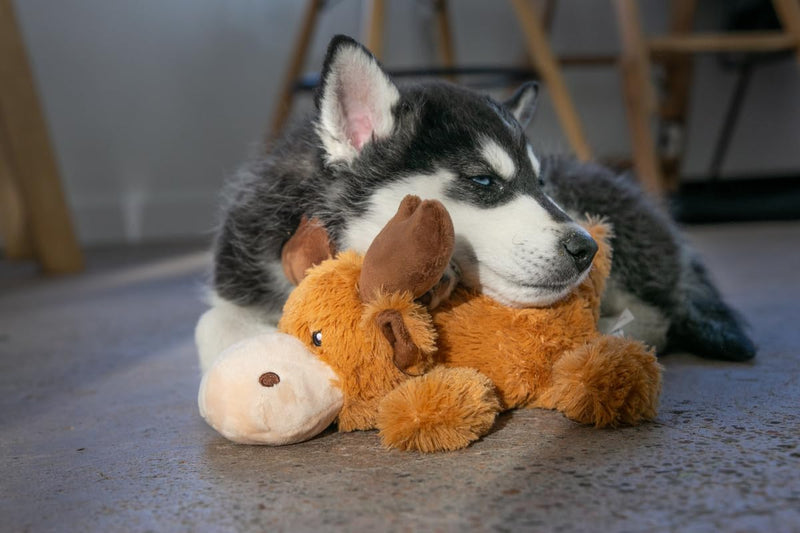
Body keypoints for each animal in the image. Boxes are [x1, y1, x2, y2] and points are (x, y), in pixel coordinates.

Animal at [195, 35, 756, 372]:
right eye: (484, 180)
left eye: (541, 181)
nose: (586, 249)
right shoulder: (239, 279)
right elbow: (214, 327)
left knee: (656, 316)